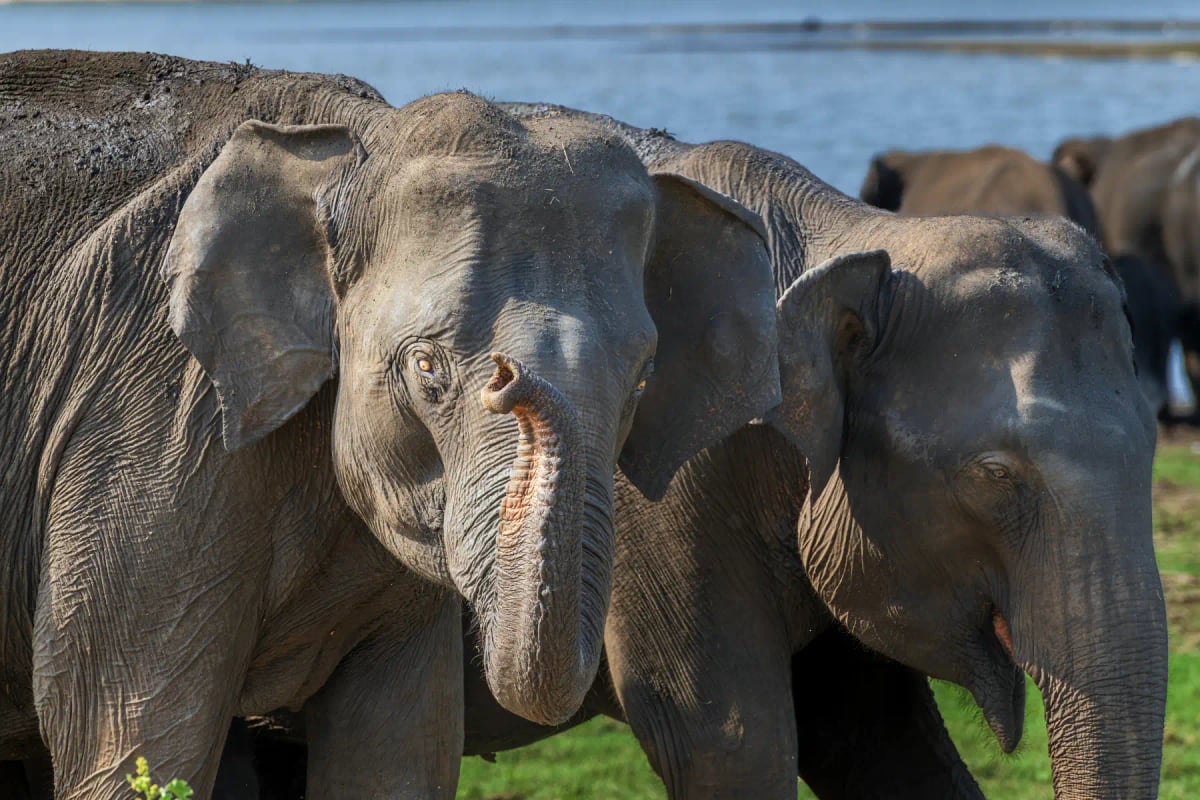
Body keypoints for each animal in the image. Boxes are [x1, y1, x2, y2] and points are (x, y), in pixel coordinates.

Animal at [0, 51, 781, 799]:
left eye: (641, 379)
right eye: (428, 369)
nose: (514, 378)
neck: (357, 139)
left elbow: (396, 758)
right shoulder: (149, 428)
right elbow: (135, 747)